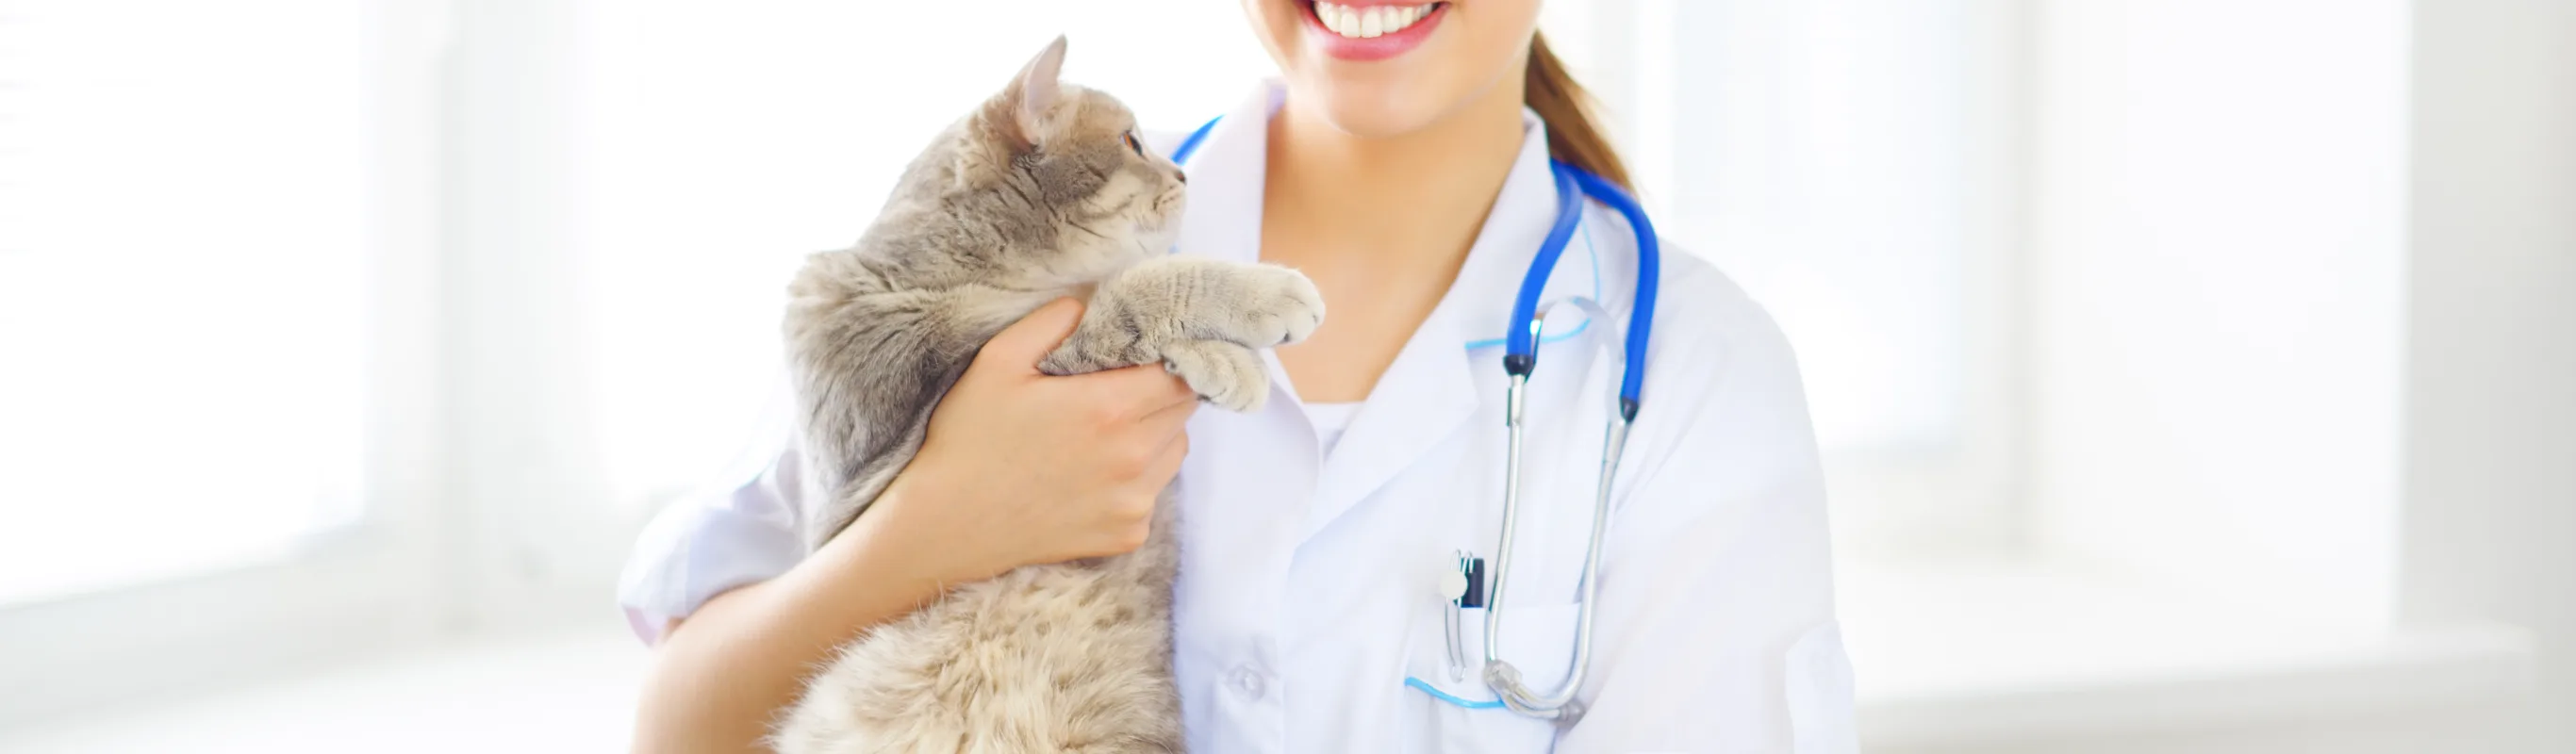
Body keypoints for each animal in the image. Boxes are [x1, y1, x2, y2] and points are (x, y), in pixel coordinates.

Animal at [762, 38, 1329, 751]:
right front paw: (1252, 309)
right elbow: (1133, 289)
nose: (1183, 174)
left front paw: (1222, 358)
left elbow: (1115, 292)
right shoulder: (897, 402)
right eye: (1132, 141)